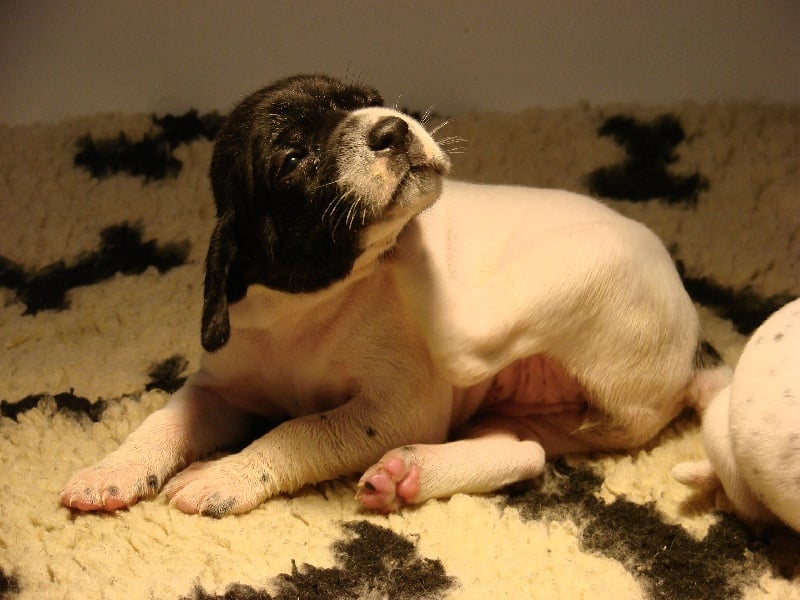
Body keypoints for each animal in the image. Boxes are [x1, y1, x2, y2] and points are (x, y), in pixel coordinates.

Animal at [61, 74, 730, 517]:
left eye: (367, 101)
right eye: (294, 157)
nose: (392, 127)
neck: (311, 307)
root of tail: (698, 345)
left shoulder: (399, 408)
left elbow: (300, 430)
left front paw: (227, 473)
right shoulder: (221, 388)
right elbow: (163, 422)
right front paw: (110, 471)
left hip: (568, 272)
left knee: (467, 346)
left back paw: (416, 248)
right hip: (531, 410)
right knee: (524, 452)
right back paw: (410, 471)